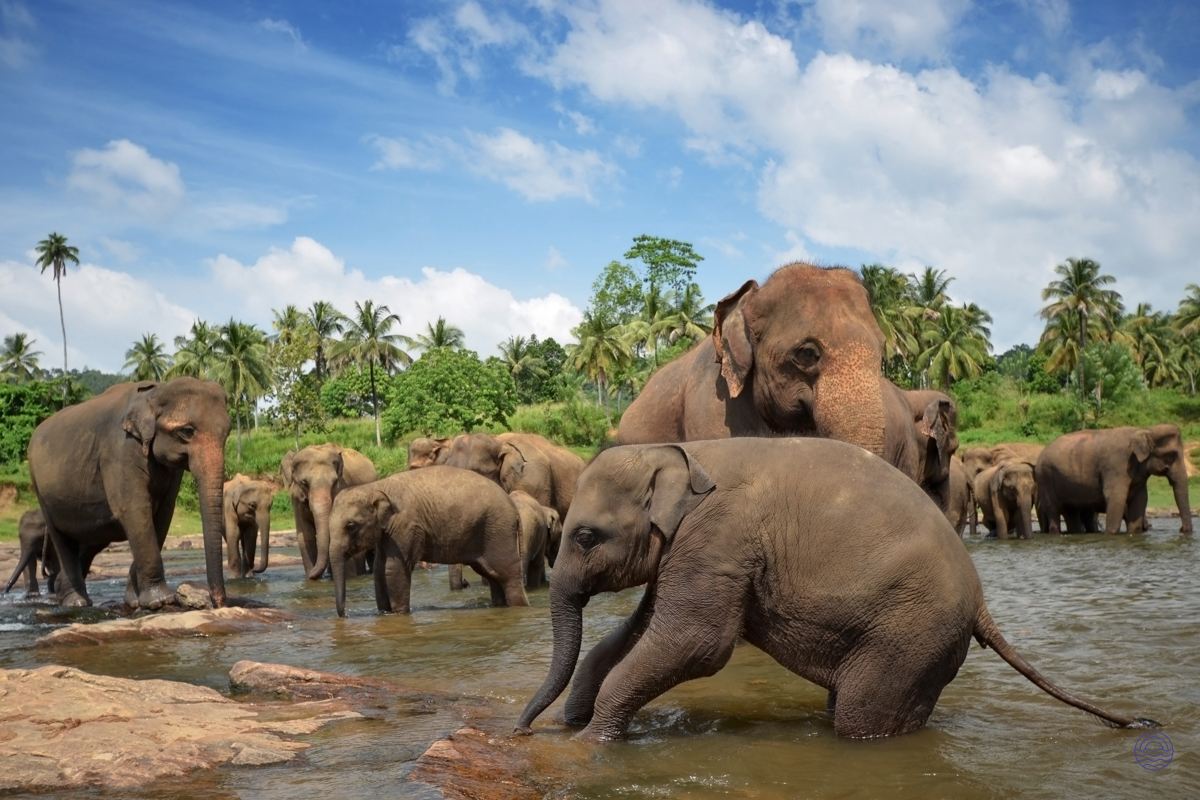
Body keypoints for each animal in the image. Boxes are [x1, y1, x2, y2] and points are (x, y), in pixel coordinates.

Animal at [27, 378, 230, 609]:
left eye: (228, 432)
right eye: (187, 431)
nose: (219, 604)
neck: (155, 392)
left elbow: (162, 516)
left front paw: (135, 601)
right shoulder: (119, 450)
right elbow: (135, 511)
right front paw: (160, 601)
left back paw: (63, 594)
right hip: (41, 491)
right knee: (62, 540)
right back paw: (76, 603)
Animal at [281, 444, 377, 580]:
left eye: (335, 482)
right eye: (304, 483)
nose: (311, 575)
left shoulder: (342, 488)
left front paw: (349, 578)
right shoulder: (296, 499)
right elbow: (305, 535)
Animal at [326, 466, 529, 616]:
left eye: (350, 526)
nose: (346, 615)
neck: (374, 486)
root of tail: (514, 508)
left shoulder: (405, 525)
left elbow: (394, 568)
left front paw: (399, 615)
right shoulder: (388, 532)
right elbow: (378, 570)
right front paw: (384, 613)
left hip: (498, 530)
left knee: (507, 574)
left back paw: (519, 607)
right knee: (492, 575)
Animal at [515, 438, 1157, 741]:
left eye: (587, 536)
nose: (520, 729)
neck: (683, 451)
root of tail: (981, 604)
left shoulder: (718, 538)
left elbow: (696, 642)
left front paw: (593, 741)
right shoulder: (691, 551)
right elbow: (644, 630)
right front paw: (576, 721)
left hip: (911, 632)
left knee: (859, 717)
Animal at [1036, 425, 1192, 535]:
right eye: (1172, 455)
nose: (1181, 529)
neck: (1145, 430)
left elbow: (1140, 499)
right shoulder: (1116, 466)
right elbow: (1116, 497)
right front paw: (1111, 534)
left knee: (1071, 512)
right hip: (1044, 478)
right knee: (1054, 510)